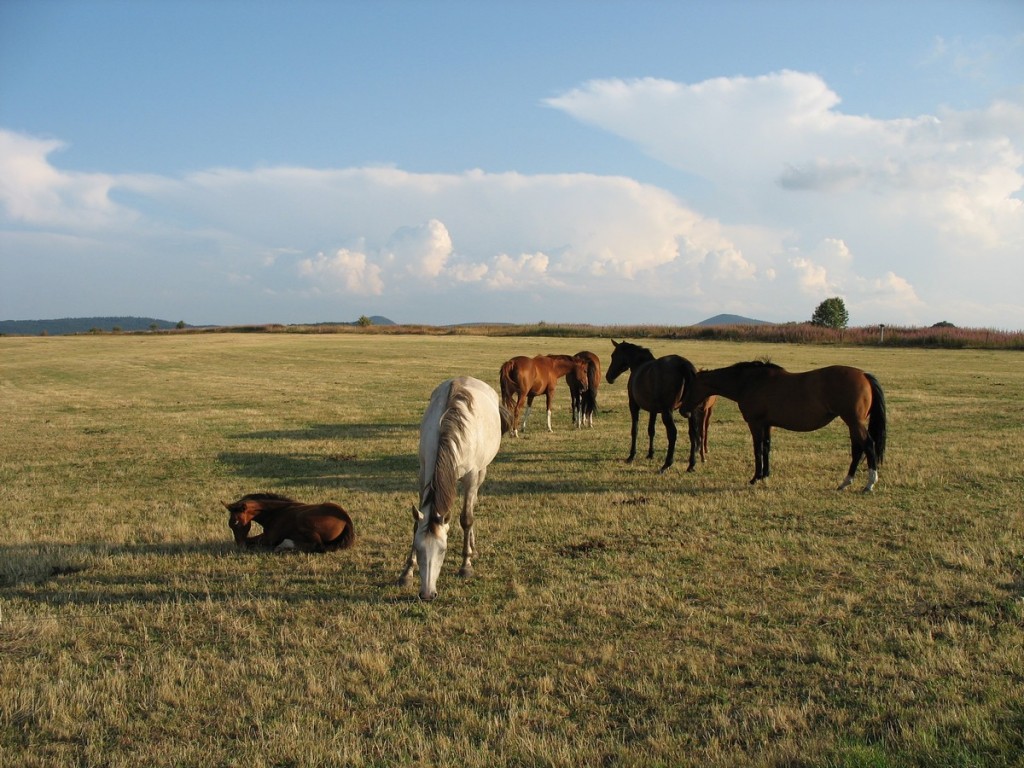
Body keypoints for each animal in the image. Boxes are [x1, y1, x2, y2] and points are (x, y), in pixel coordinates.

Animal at [223, 493, 356, 552]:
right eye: (229, 524)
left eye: (236, 522)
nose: (240, 546)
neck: (276, 512)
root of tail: (346, 520)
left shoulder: (269, 538)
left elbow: (251, 541)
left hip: (303, 521)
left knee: (317, 545)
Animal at [398, 376, 509, 601]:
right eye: (419, 549)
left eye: (442, 550)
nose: (427, 594)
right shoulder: (424, 471)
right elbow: (416, 523)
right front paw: (407, 572)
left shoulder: (471, 476)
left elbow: (466, 518)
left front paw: (466, 565)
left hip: (481, 472)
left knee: (472, 504)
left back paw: (471, 548)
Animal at [605, 339, 704, 473]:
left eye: (613, 356)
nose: (608, 377)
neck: (639, 365)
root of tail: (682, 363)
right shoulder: (653, 411)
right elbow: (651, 430)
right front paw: (650, 454)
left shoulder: (634, 405)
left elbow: (635, 430)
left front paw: (631, 456)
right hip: (690, 412)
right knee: (693, 433)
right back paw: (691, 465)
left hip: (667, 412)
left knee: (673, 433)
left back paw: (666, 464)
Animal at [679, 361, 887, 491]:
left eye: (689, 387)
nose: (683, 411)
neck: (749, 382)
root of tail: (864, 375)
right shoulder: (767, 424)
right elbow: (766, 448)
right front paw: (765, 475)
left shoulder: (755, 423)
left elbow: (757, 450)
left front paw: (755, 477)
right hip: (852, 423)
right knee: (858, 450)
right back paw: (845, 482)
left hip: (854, 422)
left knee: (868, 446)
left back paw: (869, 484)